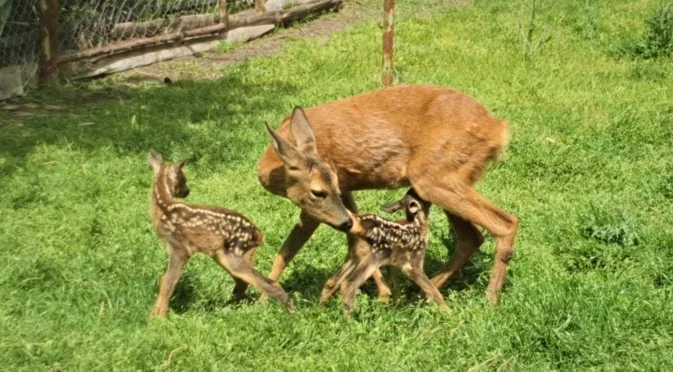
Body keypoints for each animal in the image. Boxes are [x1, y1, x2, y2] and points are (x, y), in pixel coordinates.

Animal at [148, 150, 290, 318]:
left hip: (233, 252)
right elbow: (165, 280)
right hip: (231, 253)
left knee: (264, 282)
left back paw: (291, 311)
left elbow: (168, 281)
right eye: (184, 179)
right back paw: (229, 307)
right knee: (243, 281)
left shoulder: (180, 247)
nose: (187, 191)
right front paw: (155, 315)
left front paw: (159, 318)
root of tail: (259, 234)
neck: (163, 207)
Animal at [318, 189, 446, 314]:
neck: (418, 225)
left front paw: (398, 308)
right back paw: (347, 318)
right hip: (374, 256)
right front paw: (446, 311)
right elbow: (431, 288)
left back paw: (320, 311)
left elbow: (394, 285)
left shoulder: (393, 263)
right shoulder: (413, 261)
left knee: (331, 282)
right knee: (348, 285)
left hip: (354, 255)